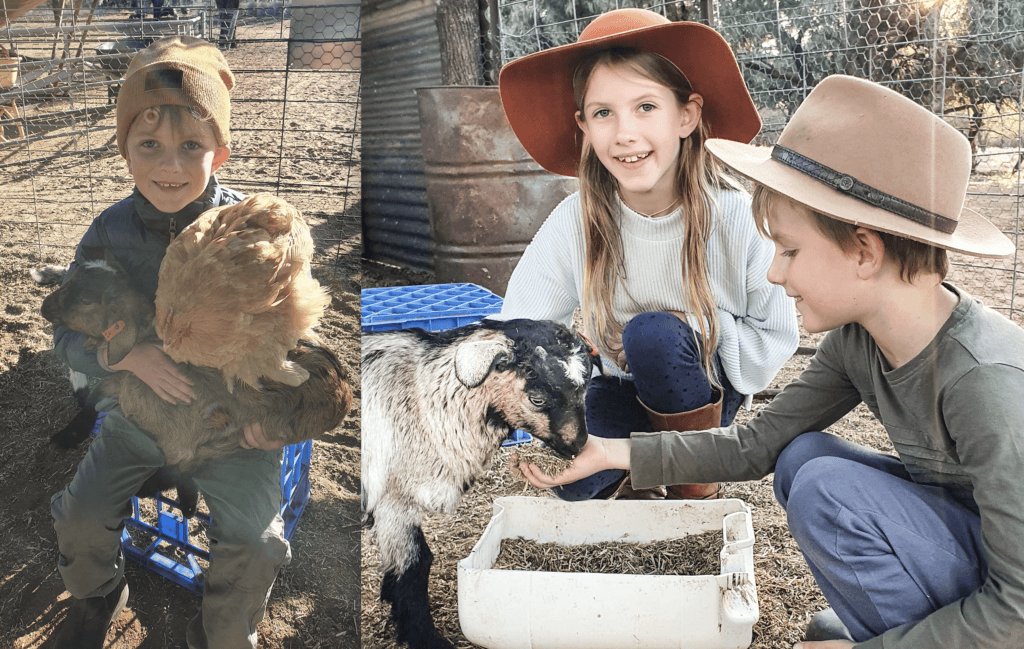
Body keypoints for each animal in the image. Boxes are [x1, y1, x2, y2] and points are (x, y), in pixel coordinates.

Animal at [39, 257, 354, 470]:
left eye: (85, 300)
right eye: (70, 281)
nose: (44, 306)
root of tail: (344, 383)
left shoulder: (179, 442)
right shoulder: (119, 380)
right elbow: (92, 399)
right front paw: (68, 434)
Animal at [364, 319, 598, 646]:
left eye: (586, 389)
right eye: (537, 399)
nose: (577, 446)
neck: (426, 402)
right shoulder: (394, 500)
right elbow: (415, 565)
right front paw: (426, 638)